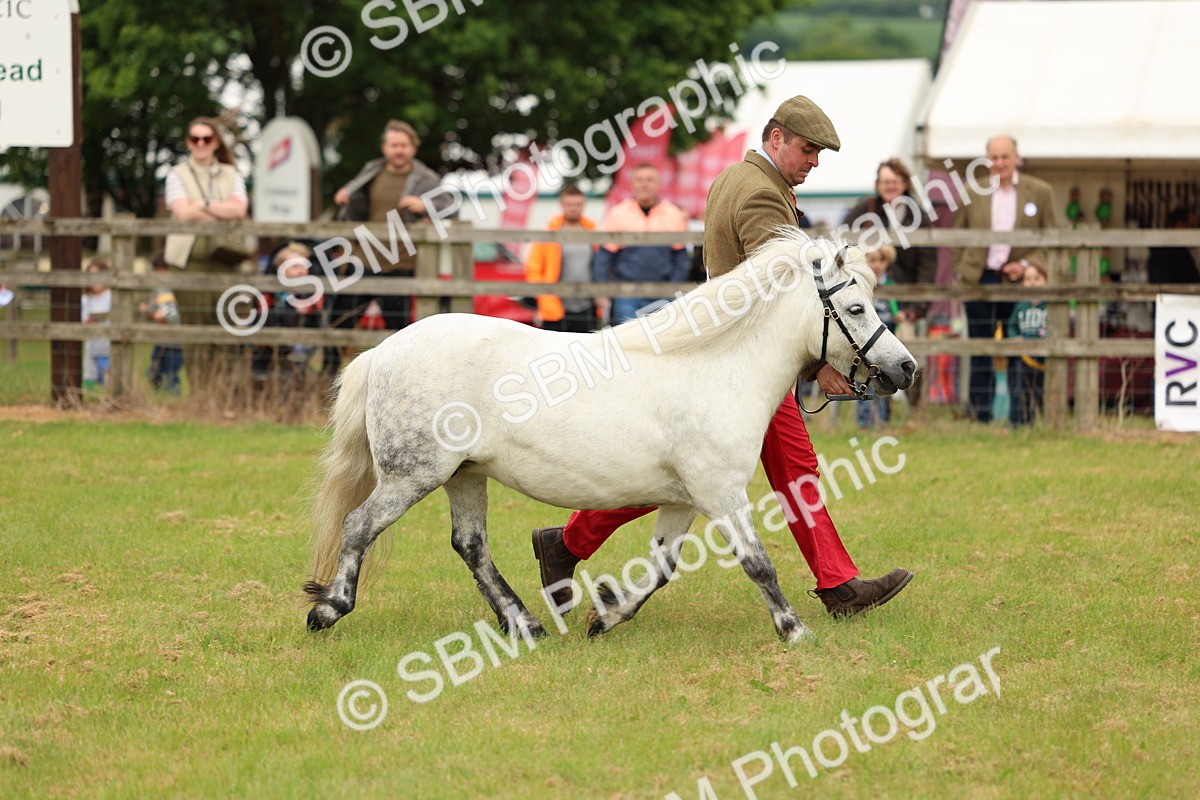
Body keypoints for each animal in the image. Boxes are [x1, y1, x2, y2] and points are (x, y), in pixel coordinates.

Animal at [304, 230, 917, 644]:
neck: (717, 367)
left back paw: (525, 622)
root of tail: (386, 349)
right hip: (414, 475)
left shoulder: (684, 500)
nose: (906, 368)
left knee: (471, 546)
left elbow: (663, 569)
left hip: (464, 476)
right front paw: (793, 629)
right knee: (359, 526)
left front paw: (607, 615)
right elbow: (757, 561)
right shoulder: (721, 493)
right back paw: (327, 610)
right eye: (856, 307)